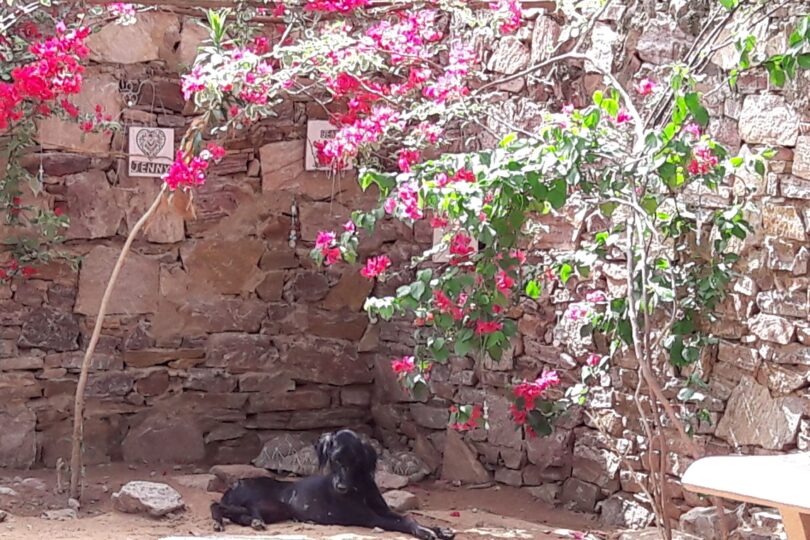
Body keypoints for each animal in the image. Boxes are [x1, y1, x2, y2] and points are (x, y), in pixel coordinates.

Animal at [210, 430, 454, 540]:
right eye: (335, 459)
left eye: (355, 460)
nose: (341, 488)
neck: (359, 487)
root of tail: (234, 485)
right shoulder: (369, 517)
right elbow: (404, 520)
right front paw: (423, 531)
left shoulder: (382, 510)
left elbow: (408, 516)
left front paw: (438, 528)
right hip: (250, 500)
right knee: (216, 505)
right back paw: (219, 522)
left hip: (271, 510)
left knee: (242, 514)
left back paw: (254, 521)